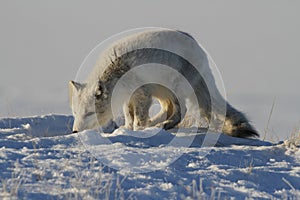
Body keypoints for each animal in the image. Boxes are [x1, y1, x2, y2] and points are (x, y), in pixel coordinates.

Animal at [69, 28, 258, 138]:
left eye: (89, 113)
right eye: (76, 113)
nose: (75, 131)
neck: (118, 69)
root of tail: (199, 48)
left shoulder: (142, 93)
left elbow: (138, 118)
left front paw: (138, 130)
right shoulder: (129, 96)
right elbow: (129, 115)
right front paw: (127, 128)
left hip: (175, 89)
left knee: (181, 111)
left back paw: (160, 125)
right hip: (162, 92)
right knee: (168, 110)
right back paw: (155, 124)